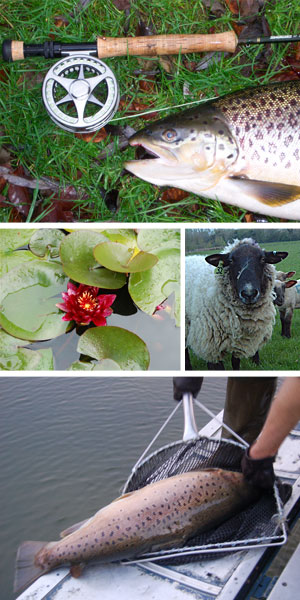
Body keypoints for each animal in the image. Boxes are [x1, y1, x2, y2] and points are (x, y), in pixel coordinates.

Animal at [185, 236, 288, 368]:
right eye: (231, 260)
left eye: (263, 259)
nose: (249, 293)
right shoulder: (211, 347)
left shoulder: (240, 344)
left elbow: (235, 364)